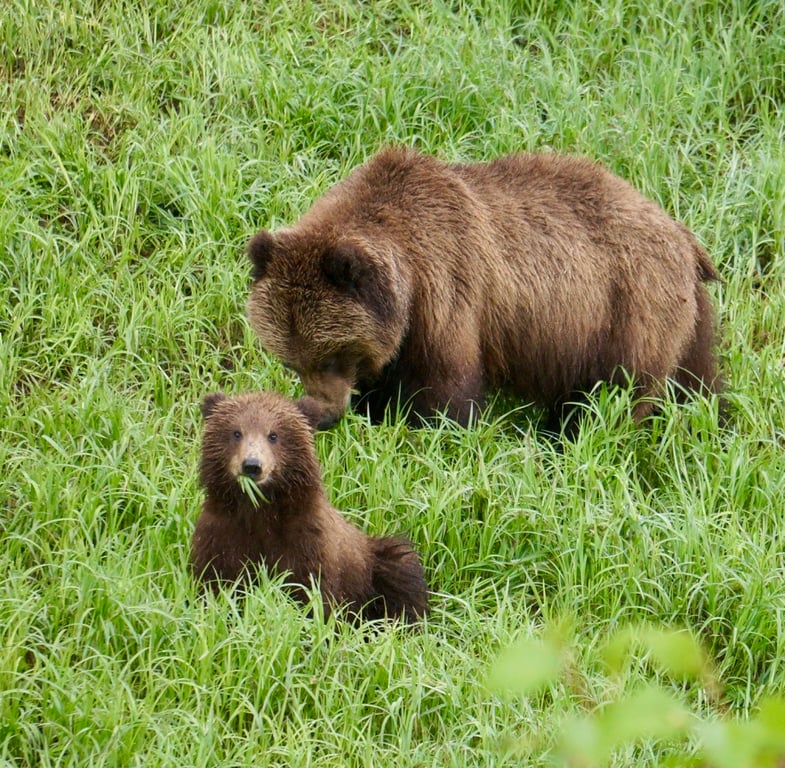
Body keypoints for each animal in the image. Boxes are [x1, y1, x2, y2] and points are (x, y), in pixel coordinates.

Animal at [191, 390, 429, 623]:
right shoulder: (223, 534)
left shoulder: (307, 541)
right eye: (236, 432)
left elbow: (310, 590)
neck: (260, 509)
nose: (252, 465)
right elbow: (217, 581)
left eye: (273, 435)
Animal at [246, 147, 721, 430]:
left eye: (332, 356)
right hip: (682, 317)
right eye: (291, 361)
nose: (318, 414)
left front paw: (433, 431)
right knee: (698, 379)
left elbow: (446, 390)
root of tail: (684, 238)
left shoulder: (448, 293)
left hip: (627, 307)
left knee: (619, 392)